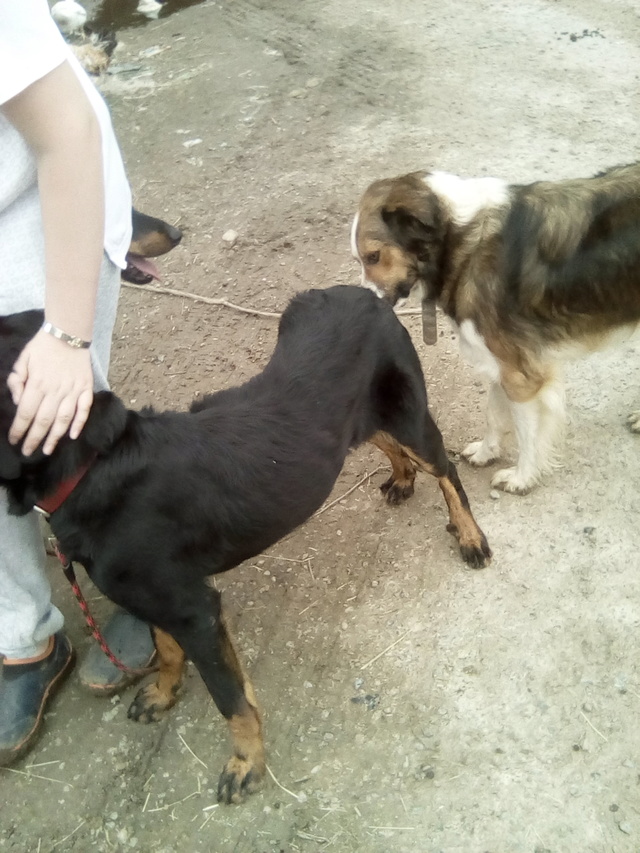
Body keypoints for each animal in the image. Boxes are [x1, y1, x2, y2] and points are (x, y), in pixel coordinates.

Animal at [0, 288, 490, 804]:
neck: (90, 467)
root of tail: (369, 295)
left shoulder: (195, 612)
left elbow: (231, 701)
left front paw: (246, 765)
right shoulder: (162, 600)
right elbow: (167, 649)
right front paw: (164, 694)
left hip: (408, 416)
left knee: (446, 469)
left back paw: (470, 535)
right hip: (360, 421)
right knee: (390, 447)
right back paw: (402, 478)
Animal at [352, 161, 640, 492]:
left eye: (374, 256)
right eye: (359, 260)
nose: (363, 310)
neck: (458, 242)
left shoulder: (521, 375)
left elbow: (527, 434)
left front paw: (521, 477)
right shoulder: (496, 363)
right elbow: (492, 414)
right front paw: (485, 452)